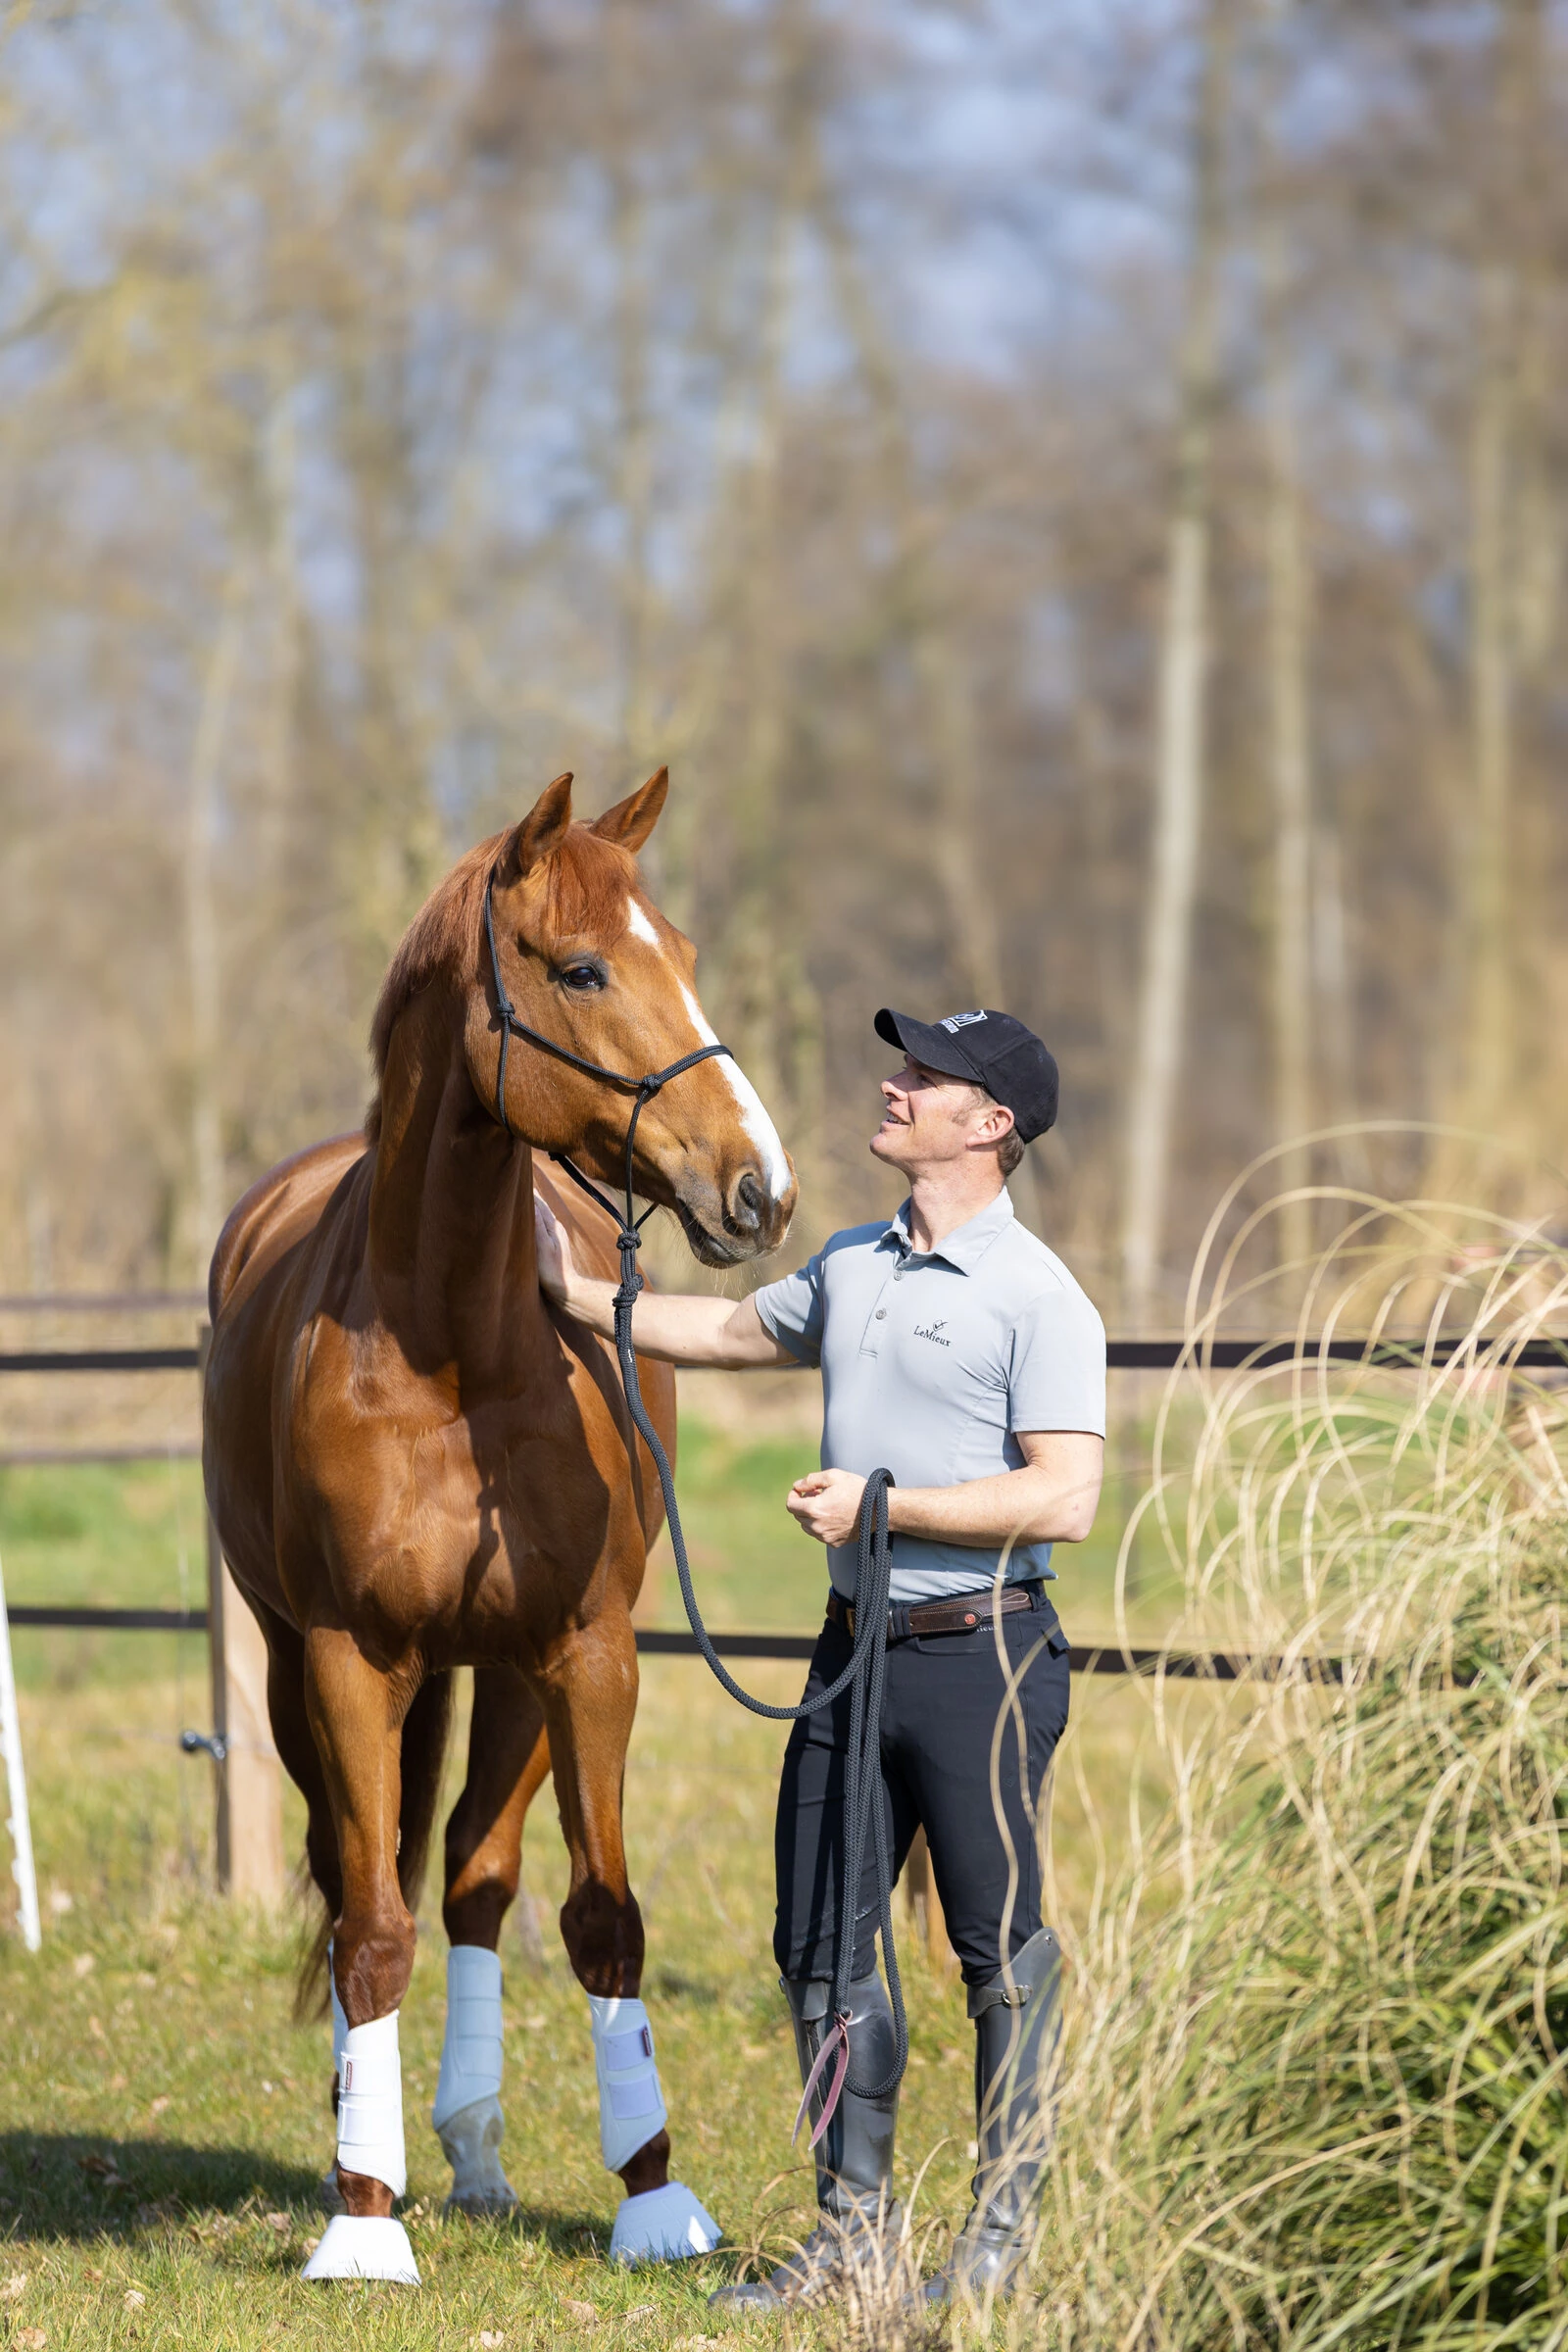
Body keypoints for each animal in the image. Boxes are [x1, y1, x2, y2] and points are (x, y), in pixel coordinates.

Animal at [201, 768, 797, 2282]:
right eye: (580, 968)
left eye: (683, 954)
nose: (760, 1188)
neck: (454, 1348)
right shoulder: (348, 1661)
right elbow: (368, 1927)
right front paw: (360, 2223)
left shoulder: (588, 1652)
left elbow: (600, 1916)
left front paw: (651, 2198)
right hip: (297, 1672)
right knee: (358, 1883)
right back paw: (366, 2140)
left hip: (517, 1680)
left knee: (475, 1875)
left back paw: (469, 2149)